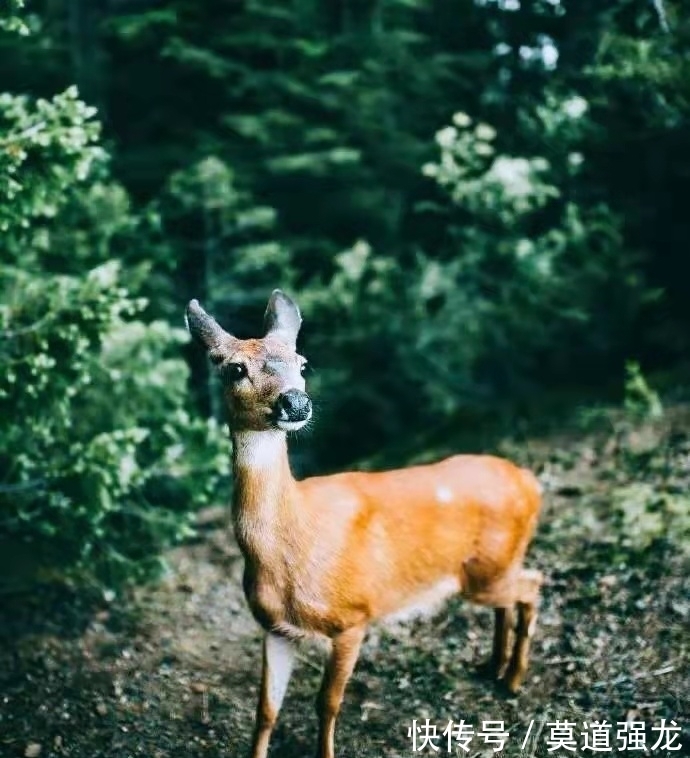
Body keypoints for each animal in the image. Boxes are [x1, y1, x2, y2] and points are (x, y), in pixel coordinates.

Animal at [184, 290, 544, 758]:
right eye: (235, 368)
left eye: (302, 363)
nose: (295, 402)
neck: (291, 548)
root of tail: (531, 482)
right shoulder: (274, 627)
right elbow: (265, 709)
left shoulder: (353, 617)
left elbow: (327, 704)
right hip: (487, 573)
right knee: (514, 596)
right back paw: (495, 667)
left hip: (491, 569)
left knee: (534, 585)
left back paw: (514, 679)